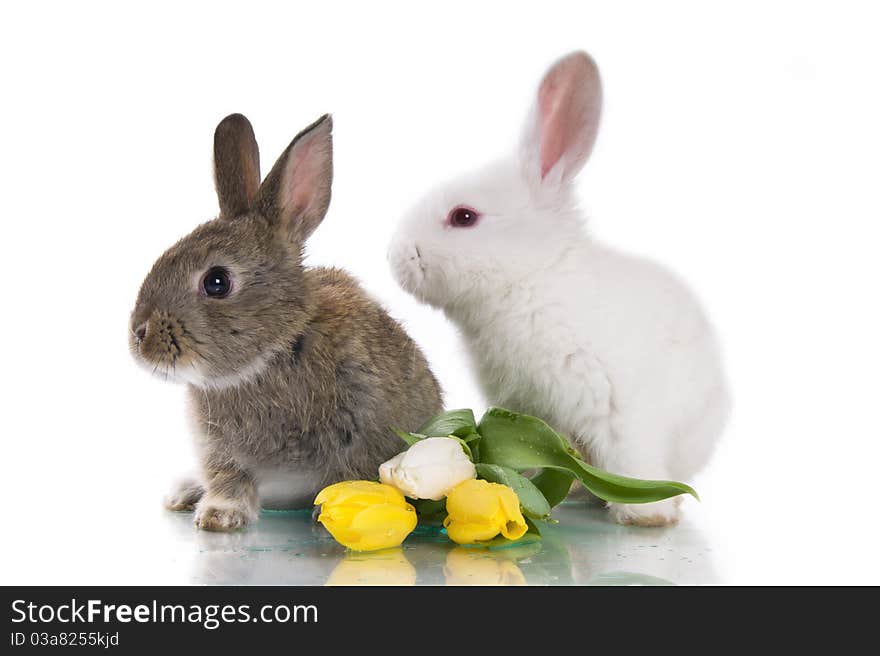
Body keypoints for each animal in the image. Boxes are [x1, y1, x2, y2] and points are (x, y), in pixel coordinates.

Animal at [127, 113, 444, 532]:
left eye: (217, 282)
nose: (138, 335)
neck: (277, 348)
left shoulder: (364, 431)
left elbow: (349, 475)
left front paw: (333, 513)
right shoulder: (220, 454)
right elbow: (229, 482)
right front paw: (219, 516)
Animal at [390, 51, 728, 524]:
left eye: (464, 217)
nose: (398, 255)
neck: (533, 277)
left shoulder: (619, 409)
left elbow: (633, 460)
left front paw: (647, 515)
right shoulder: (527, 411)